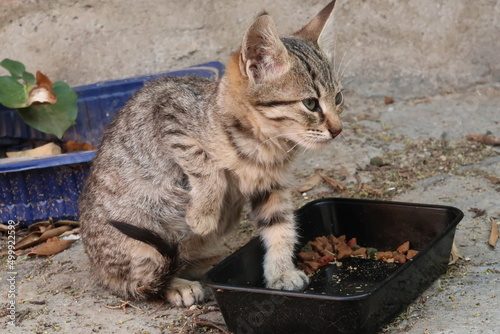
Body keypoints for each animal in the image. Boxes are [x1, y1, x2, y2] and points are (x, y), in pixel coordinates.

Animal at [79, 0, 344, 308]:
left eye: (338, 98)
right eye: (311, 103)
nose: (337, 129)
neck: (265, 144)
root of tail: (95, 265)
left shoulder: (270, 185)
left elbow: (280, 226)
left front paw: (280, 272)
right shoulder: (168, 113)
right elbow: (206, 165)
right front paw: (203, 214)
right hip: (142, 228)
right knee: (139, 283)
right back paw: (177, 284)